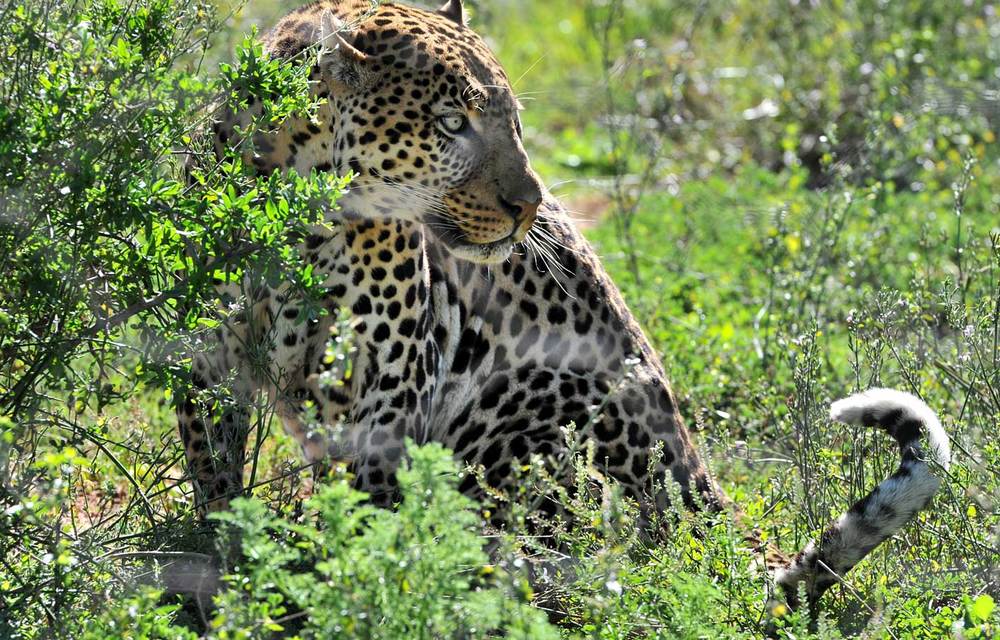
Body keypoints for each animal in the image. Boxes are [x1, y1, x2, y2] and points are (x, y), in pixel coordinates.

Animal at [178, 0, 952, 610]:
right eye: (451, 123)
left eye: (514, 121)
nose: (528, 206)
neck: (297, 212)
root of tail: (703, 484)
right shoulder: (206, 359)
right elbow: (214, 474)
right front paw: (225, 558)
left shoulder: (391, 375)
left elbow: (366, 500)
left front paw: (351, 574)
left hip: (534, 404)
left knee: (580, 551)